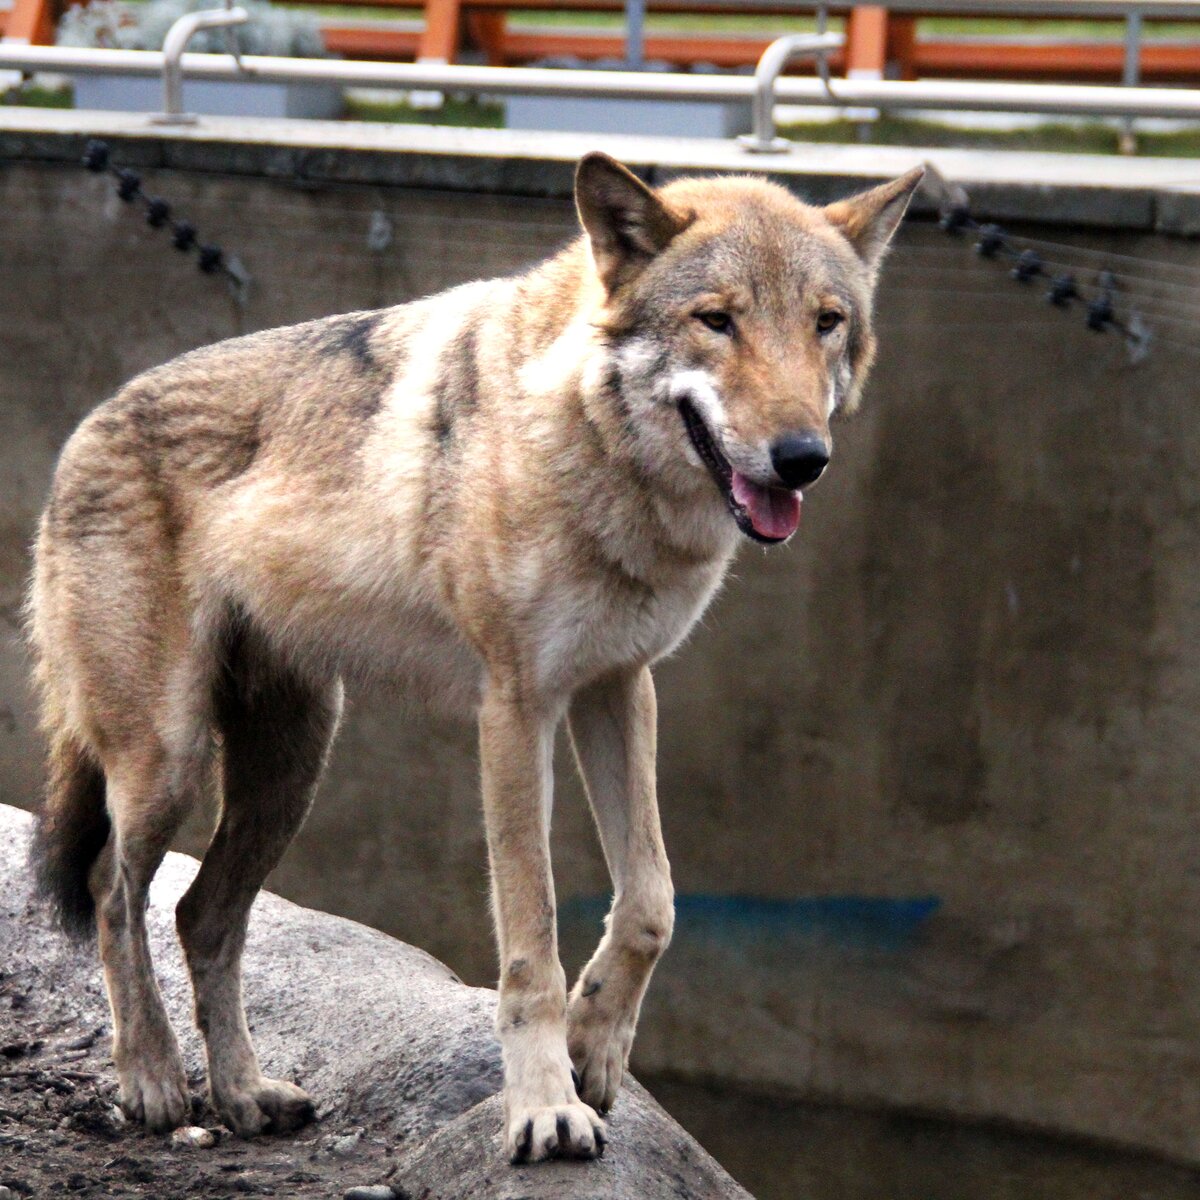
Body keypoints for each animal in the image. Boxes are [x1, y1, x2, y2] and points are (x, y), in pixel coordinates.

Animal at [28, 150, 921, 1161]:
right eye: (717, 320)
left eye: (826, 322)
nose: (802, 456)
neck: (586, 444)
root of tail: (82, 429)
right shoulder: (516, 710)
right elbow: (531, 938)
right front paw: (544, 1109)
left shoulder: (619, 686)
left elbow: (652, 902)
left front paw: (596, 1050)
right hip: (170, 763)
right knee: (111, 890)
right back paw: (151, 1079)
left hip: (291, 771)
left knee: (199, 914)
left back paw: (246, 1094)